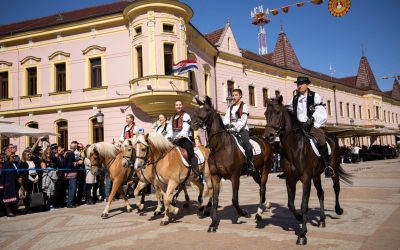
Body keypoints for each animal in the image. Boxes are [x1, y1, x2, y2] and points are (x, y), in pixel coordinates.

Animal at [191, 96, 276, 232]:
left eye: (207, 110)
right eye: (196, 109)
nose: (192, 124)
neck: (220, 147)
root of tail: (265, 140)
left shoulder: (235, 177)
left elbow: (234, 200)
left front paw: (243, 213)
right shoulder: (215, 176)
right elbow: (215, 199)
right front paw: (213, 223)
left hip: (266, 168)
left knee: (262, 187)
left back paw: (259, 212)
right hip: (254, 172)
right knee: (262, 188)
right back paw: (265, 205)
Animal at [264, 96, 352, 246]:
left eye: (277, 112)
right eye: (265, 114)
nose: (268, 136)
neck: (294, 148)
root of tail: (332, 136)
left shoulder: (306, 179)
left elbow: (304, 204)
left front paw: (302, 234)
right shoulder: (290, 180)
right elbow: (291, 204)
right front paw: (299, 218)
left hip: (332, 169)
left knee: (336, 187)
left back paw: (338, 210)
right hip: (316, 176)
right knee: (321, 193)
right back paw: (322, 220)